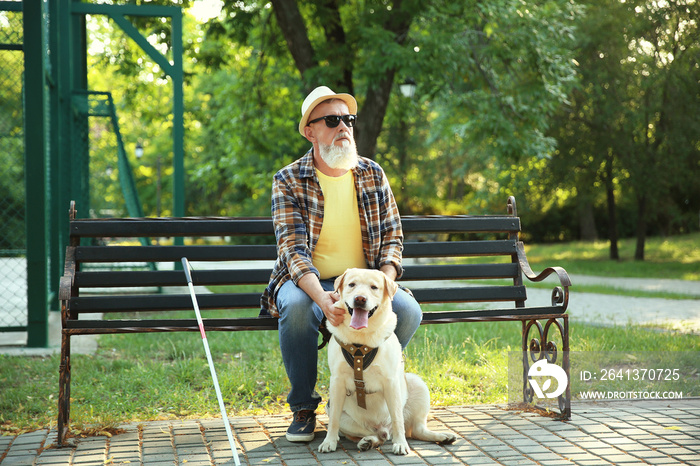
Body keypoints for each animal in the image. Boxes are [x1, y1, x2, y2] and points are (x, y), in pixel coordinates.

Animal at [318, 268, 460, 454]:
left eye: (374, 287)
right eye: (351, 285)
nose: (360, 299)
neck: (361, 339)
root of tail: (383, 428)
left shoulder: (391, 381)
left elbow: (397, 419)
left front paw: (400, 444)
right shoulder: (337, 381)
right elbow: (333, 420)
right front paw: (329, 441)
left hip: (417, 384)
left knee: (415, 429)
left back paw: (443, 436)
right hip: (340, 414)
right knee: (379, 435)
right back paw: (368, 441)